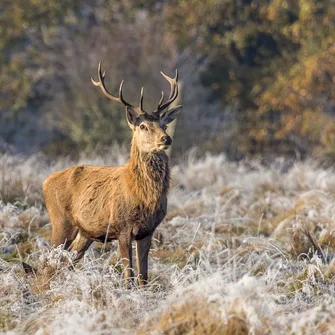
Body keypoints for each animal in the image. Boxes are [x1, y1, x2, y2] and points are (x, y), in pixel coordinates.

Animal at [43, 62, 182, 286]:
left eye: (164, 124)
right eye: (143, 126)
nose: (166, 139)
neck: (143, 196)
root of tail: (46, 181)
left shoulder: (148, 231)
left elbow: (143, 276)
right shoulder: (122, 227)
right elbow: (129, 275)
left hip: (85, 233)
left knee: (67, 261)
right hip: (61, 222)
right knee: (47, 261)